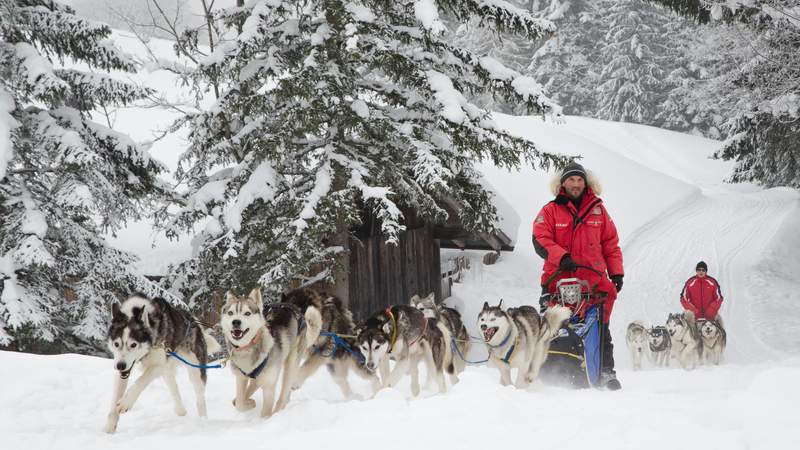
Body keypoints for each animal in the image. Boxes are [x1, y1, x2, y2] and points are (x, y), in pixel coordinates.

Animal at [104, 296, 222, 432]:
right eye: (116, 344)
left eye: (133, 344)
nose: (120, 366)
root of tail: (193, 321)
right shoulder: (123, 370)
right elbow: (115, 398)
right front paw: (109, 428)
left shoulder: (159, 365)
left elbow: (140, 382)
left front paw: (125, 403)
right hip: (167, 372)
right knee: (174, 389)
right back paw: (181, 411)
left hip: (195, 370)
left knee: (200, 396)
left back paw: (203, 420)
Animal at [220, 288, 320, 418]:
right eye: (230, 313)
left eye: (247, 313)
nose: (236, 322)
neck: (247, 349)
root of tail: (294, 308)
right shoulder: (241, 378)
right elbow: (239, 404)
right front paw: (249, 403)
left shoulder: (268, 386)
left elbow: (265, 412)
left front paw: (264, 418)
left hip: (290, 364)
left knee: (284, 392)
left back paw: (279, 411)